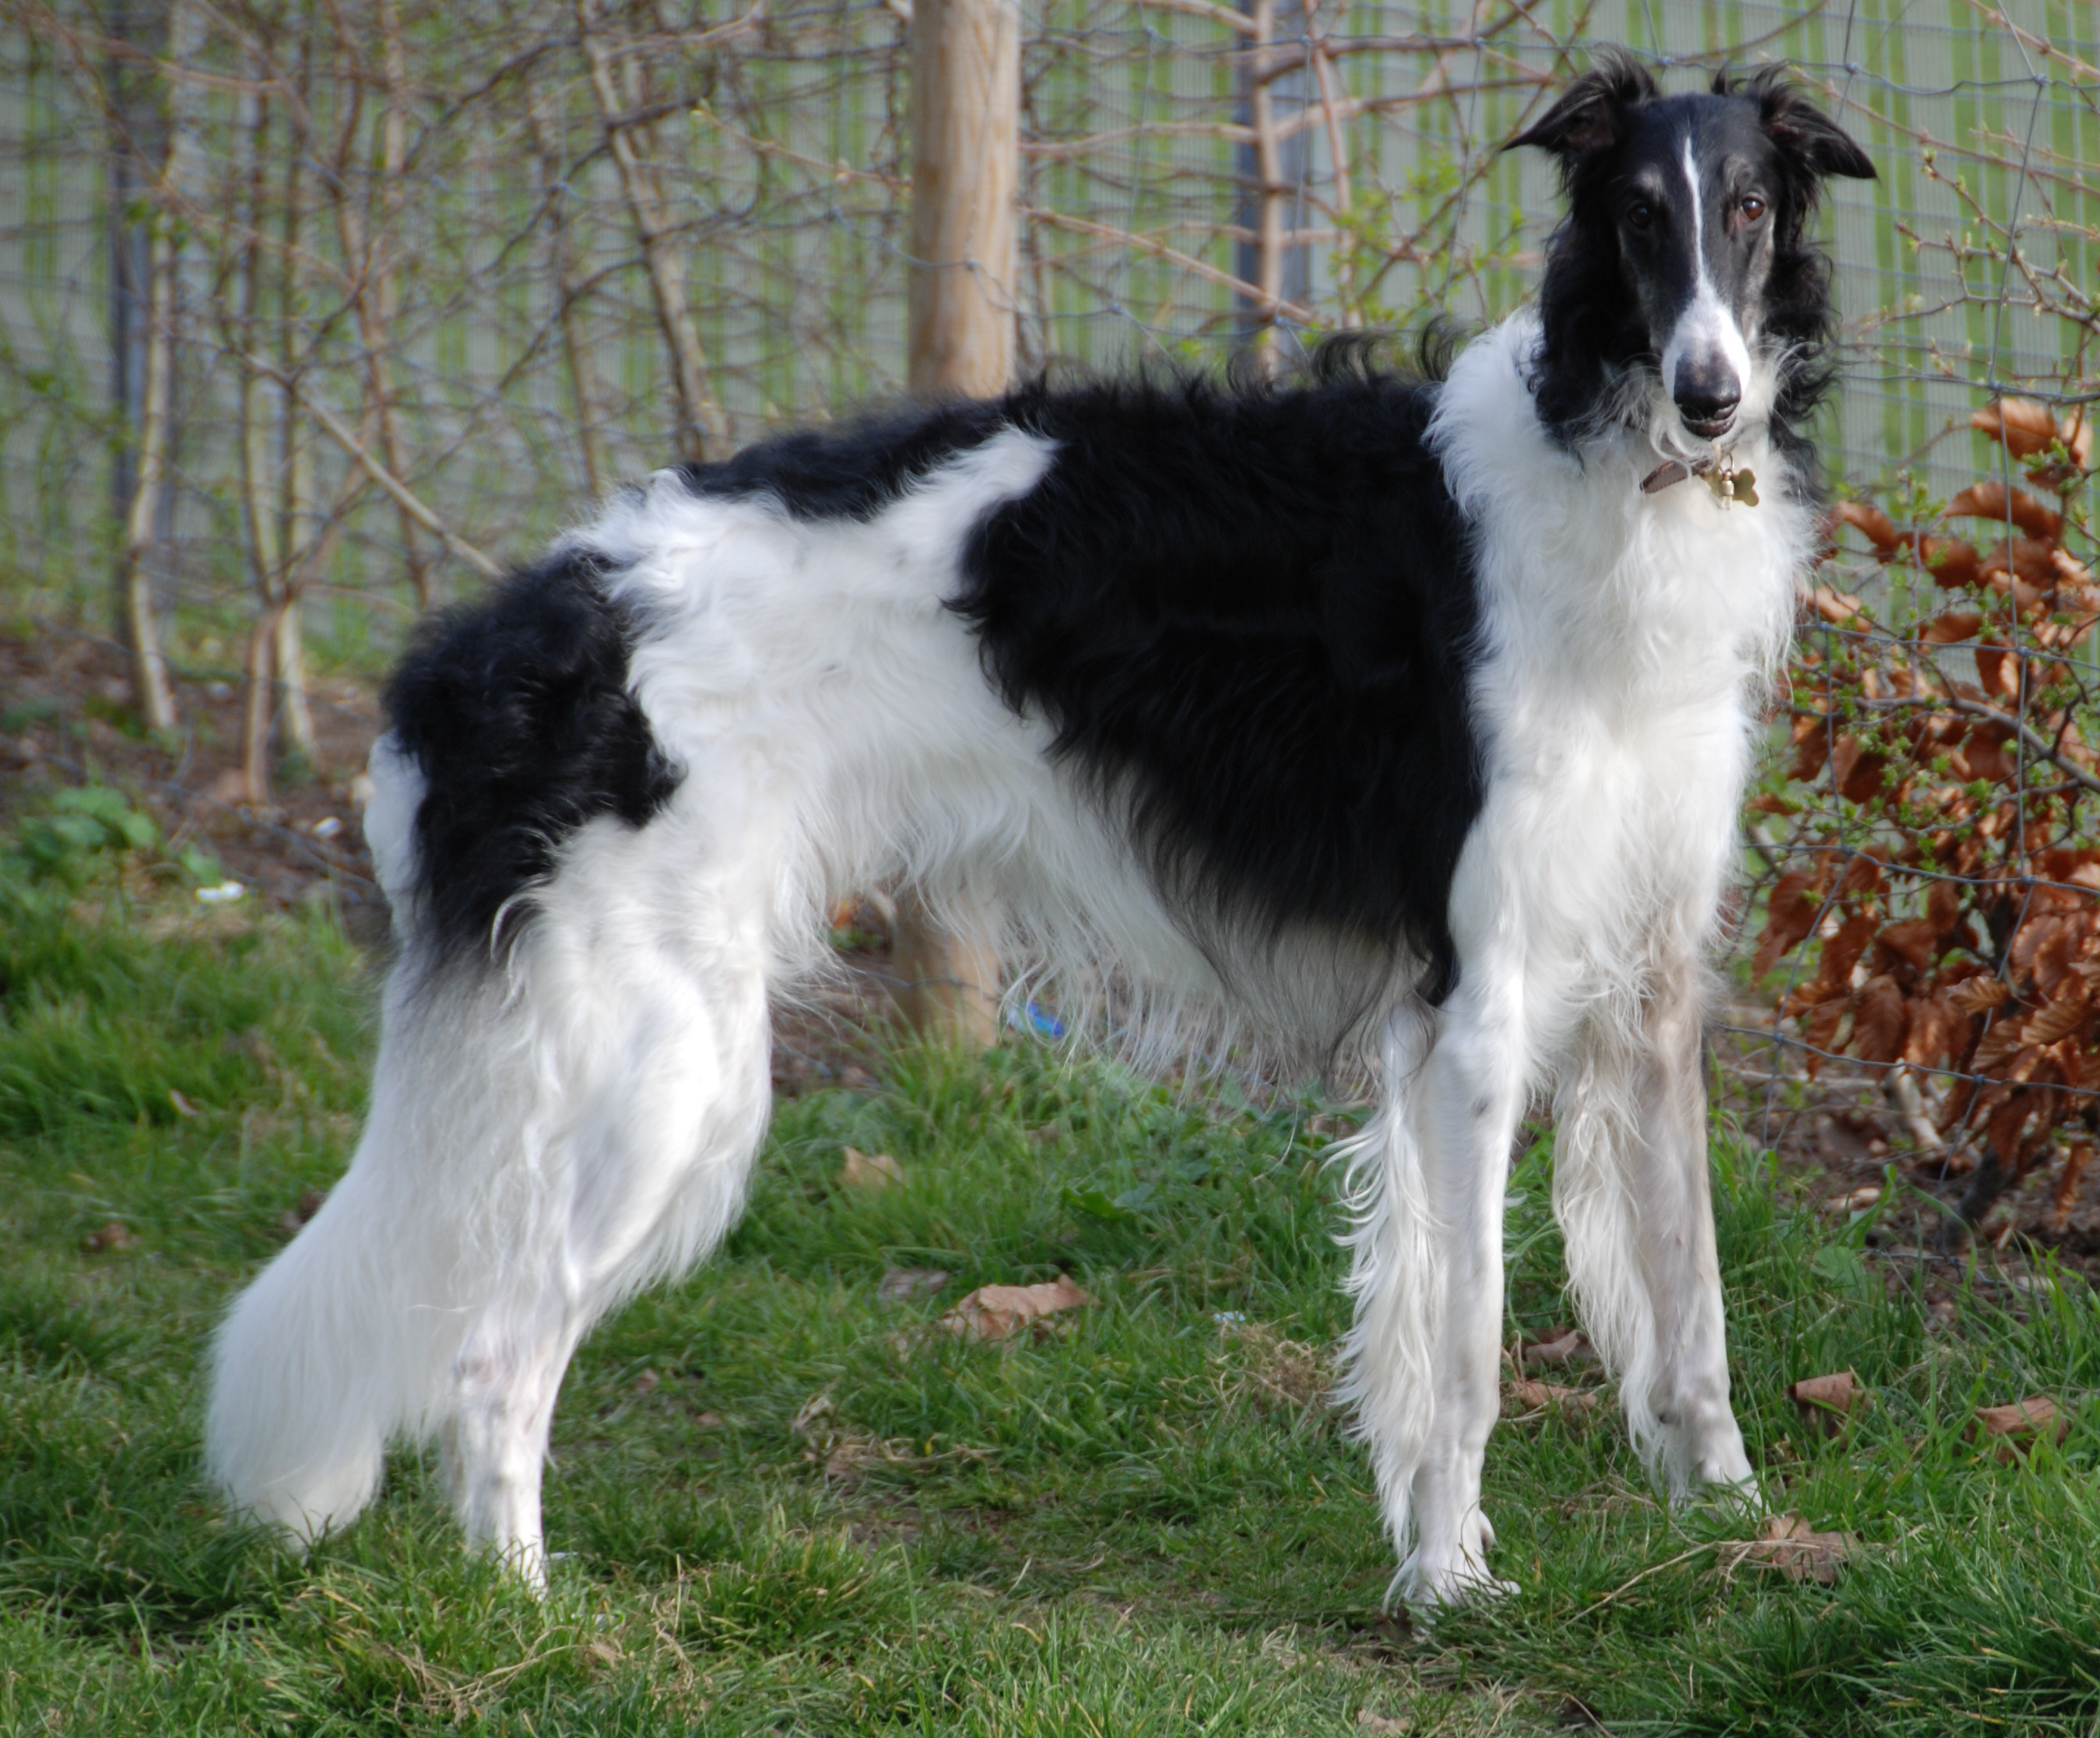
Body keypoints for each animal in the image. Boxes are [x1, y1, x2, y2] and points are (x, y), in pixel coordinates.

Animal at [209, 54, 1873, 1603]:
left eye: (1746, 207)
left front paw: (1734, 1521)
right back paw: (532, 1621)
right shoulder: (1478, 997)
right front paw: (1447, 1581)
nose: (1711, 394)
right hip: (668, 1069)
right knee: (492, 1362)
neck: (1609, 472)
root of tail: (499, 638)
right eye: (1636, 215)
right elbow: (1463, 1343)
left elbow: (1688, 1310)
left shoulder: (1648, 986)